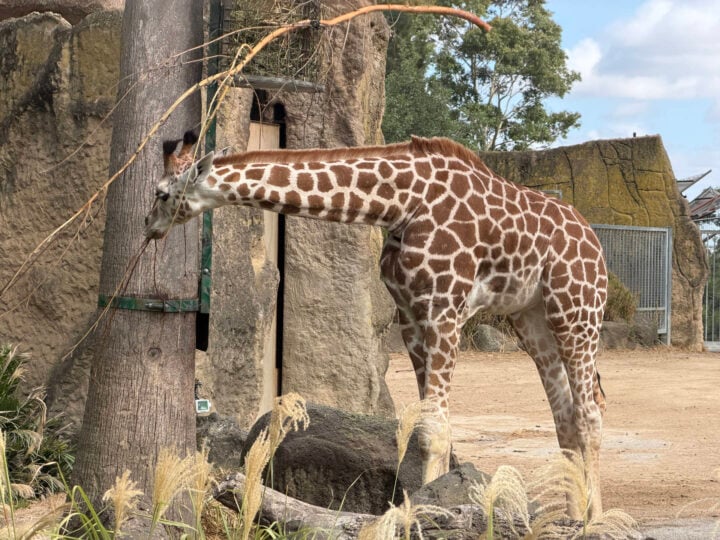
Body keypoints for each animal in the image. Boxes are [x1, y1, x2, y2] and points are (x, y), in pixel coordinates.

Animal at [145, 133, 608, 518]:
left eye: (161, 193)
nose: (149, 228)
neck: (399, 204)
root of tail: (594, 240)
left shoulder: (444, 309)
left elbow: (434, 430)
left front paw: (430, 511)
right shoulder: (412, 317)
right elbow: (425, 429)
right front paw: (432, 505)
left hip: (577, 309)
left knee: (589, 411)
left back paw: (595, 518)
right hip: (532, 318)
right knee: (567, 414)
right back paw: (572, 516)